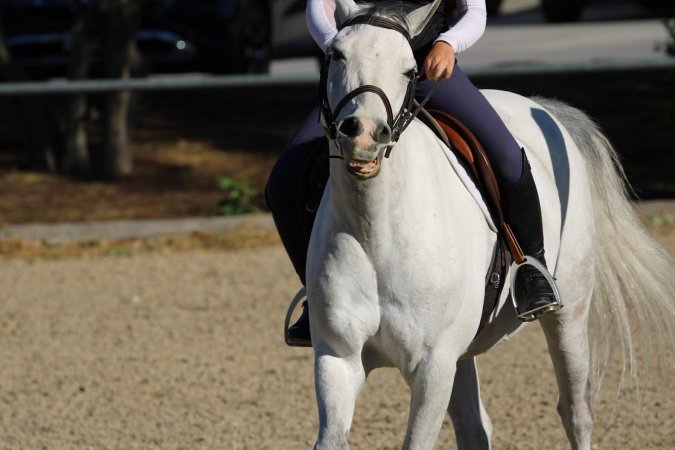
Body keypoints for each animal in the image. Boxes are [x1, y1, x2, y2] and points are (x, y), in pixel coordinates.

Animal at [304, 1, 675, 448]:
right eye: (336, 55)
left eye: (410, 69)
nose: (363, 134)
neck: (377, 232)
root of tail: (543, 108)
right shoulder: (338, 359)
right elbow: (331, 437)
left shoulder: (433, 365)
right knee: (474, 427)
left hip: (568, 315)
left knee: (576, 412)